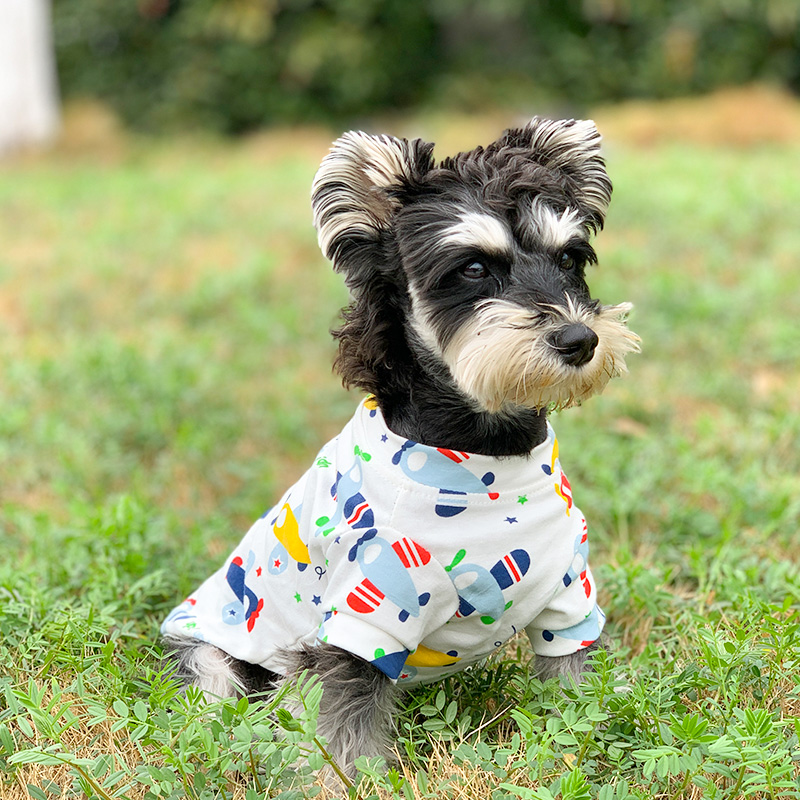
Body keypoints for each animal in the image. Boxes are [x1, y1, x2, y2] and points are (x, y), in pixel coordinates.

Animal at [159, 117, 640, 780]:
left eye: (570, 257)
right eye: (472, 268)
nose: (579, 340)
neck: (486, 453)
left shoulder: (570, 598)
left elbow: (572, 679)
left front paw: (587, 743)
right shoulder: (365, 618)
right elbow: (343, 725)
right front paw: (343, 781)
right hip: (212, 658)